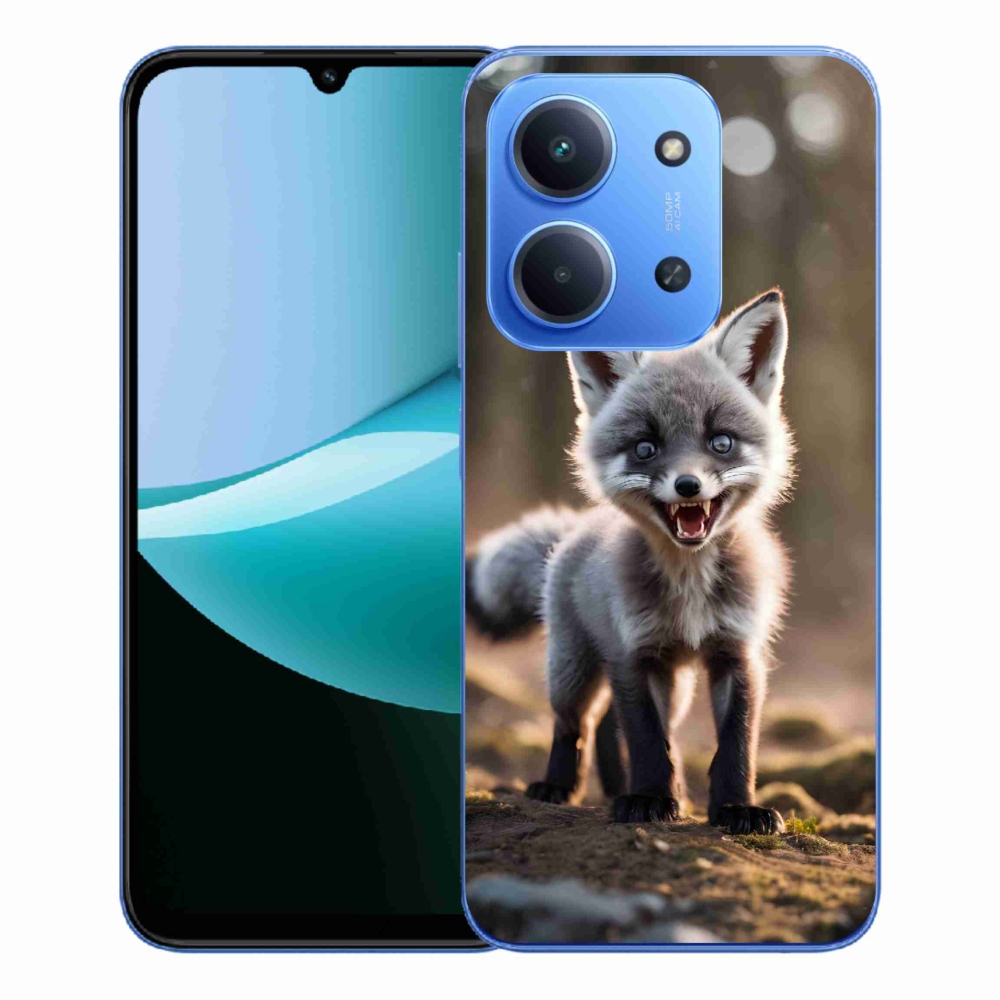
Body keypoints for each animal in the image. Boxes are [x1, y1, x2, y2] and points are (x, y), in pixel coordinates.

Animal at [466, 290, 794, 835]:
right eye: (645, 447)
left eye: (720, 442)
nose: (688, 485)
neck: (689, 586)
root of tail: (574, 531)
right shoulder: (634, 654)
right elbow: (646, 741)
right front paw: (650, 799)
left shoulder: (738, 652)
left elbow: (735, 746)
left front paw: (735, 809)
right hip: (573, 670)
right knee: (575, 723)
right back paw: (559, 786)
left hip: (674, 685)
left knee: (605, 726)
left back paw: (619, 786)